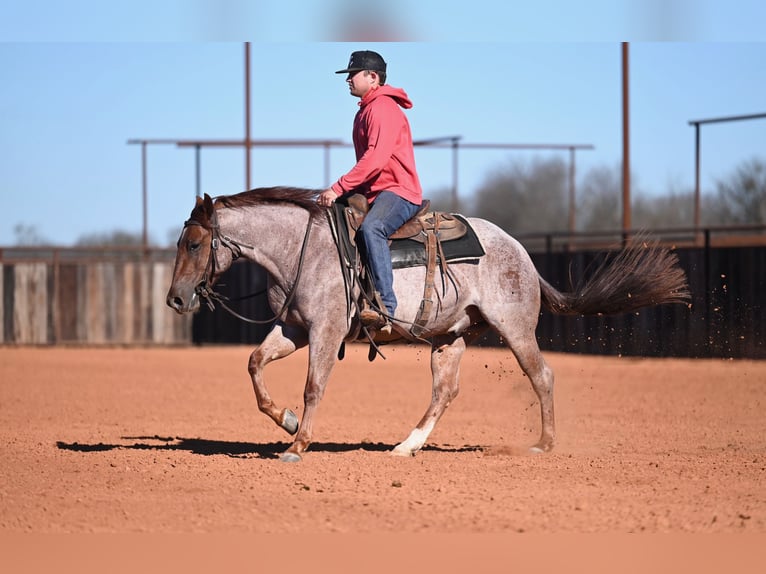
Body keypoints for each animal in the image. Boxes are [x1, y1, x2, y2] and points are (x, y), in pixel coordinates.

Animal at [166, 187, 690, 462]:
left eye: (194, 244)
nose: (175, 297)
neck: (302, 249)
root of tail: (518, 249)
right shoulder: (293, 329)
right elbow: (255, 365)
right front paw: (288, 421)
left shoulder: (325, 333)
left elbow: (314, 386)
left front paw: (298, 444)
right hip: (449, 337)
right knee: (444, 391)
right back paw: (406, 445)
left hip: (516, 329)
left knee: (541, 375)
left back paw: (543, 443)